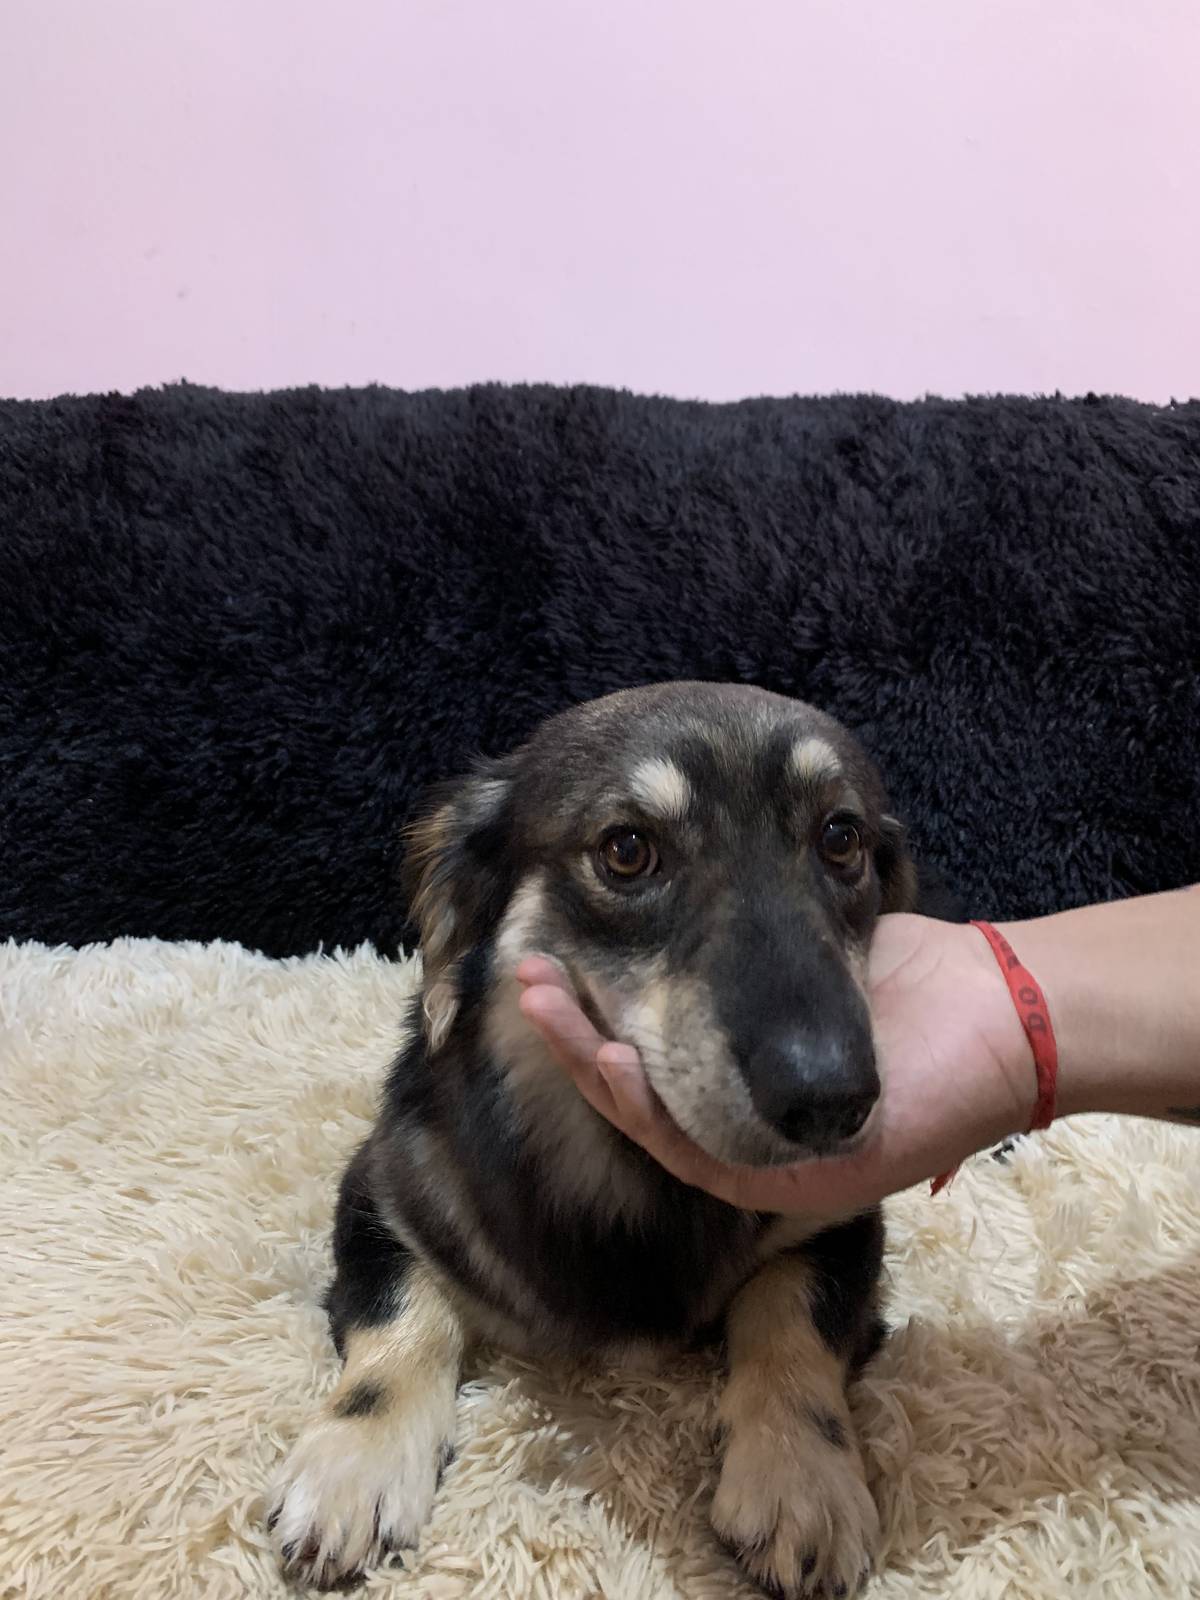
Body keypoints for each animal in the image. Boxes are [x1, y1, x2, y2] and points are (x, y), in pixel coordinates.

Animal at [268, 680, 939, 1597]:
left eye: (842, 838)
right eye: (626, 850)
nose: (831, 1099)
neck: (634, 1182)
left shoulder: (840, 1223)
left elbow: (792, 1320)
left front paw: (801, 1474)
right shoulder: (385, 1189)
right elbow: (400, 1318)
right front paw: (355, 1466)